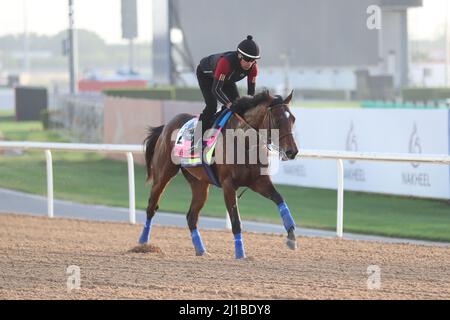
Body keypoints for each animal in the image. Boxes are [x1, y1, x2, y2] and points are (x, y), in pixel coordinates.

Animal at [137, 89, 298, 258]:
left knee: (191, 216)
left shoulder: (258, 180)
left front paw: (292, 236)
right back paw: (143, 243)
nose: (292, 151)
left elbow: (280, 199)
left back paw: (201, 250)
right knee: (151, 206)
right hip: (163, 174)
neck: (244, 141)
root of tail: (166, 126)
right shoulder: (228, 184)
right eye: (277, 121)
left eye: (293, 119)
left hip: (199, 184)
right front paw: (240, 254)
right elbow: (236, 221)